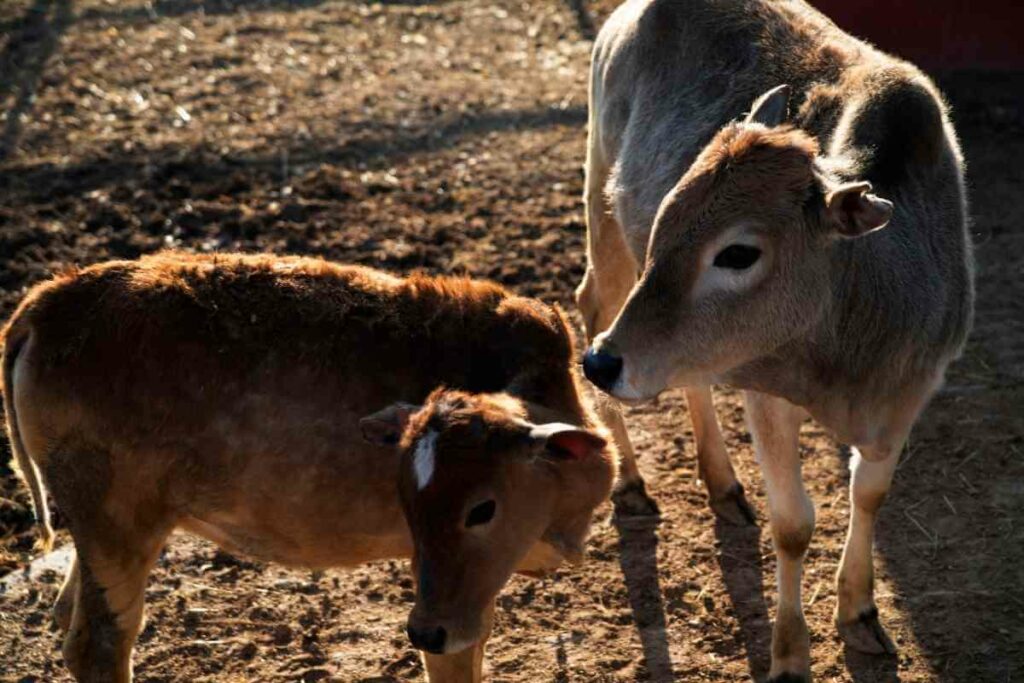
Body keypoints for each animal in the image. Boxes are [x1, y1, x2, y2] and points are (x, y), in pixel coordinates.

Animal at [2, 252, 614, 683]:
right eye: (411, 504)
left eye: (482, 509)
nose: (424, 630)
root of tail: (48, 304)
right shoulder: (447, 604)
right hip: (118, 526)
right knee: (101, 644)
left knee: (67, 617)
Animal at [581, 2, 970, 679]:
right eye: (665, 225)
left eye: (738, 252)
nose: (603, 362)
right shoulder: (767, 392)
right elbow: (794, 525)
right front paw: (789, 653)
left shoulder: (911, 392)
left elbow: (870, 492)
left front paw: (860, 613)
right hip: (602, 211)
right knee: (586, 304)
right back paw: (630, 482)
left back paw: (722, 483)